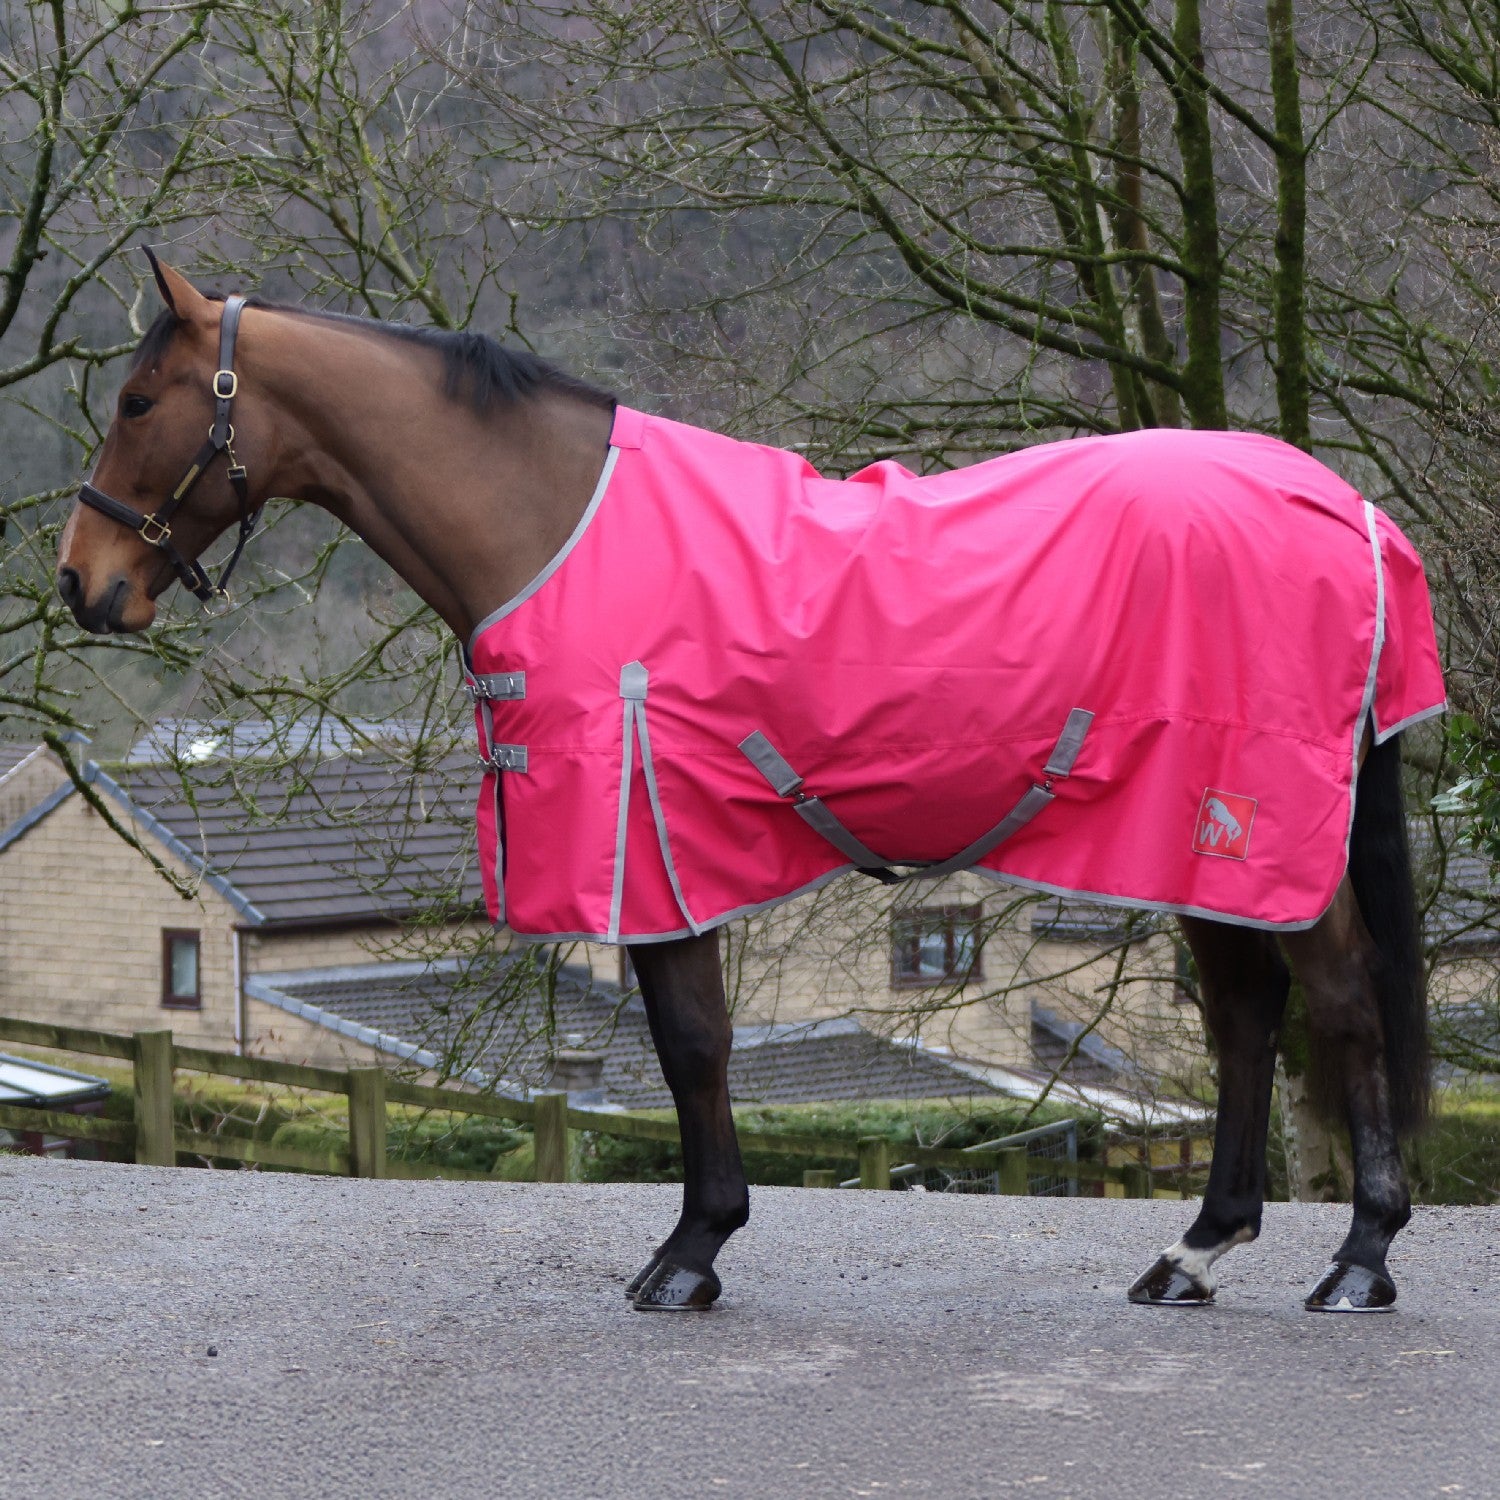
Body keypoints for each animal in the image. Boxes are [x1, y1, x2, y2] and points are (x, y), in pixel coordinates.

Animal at [57, 255, 1441, 1314]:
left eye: (136, 398)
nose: (81, 583)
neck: (557, 528)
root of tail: (1343, 508)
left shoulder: (656, 846)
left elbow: (692, 1045)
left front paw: (689, 1254)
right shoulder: (677, 854)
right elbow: (695, 1045)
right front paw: (698, 1243)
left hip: (1259, 834)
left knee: (1340, 1006)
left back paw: (1359, 1263)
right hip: (1194, 844)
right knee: (1248, 1015)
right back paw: (1194, 1254)